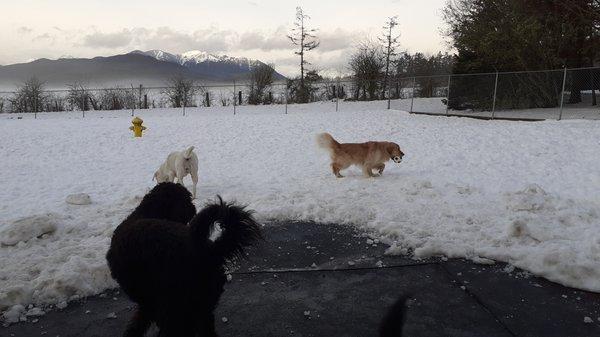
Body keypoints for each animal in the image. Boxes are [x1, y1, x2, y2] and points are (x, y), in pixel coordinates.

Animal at [107, 184, 260, 336]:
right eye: (187, 199)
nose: (193, 208)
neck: (146, 213)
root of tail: (207, 250)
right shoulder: (149, 303)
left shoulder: (150, 302)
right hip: (201, 306)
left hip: (177, 309)